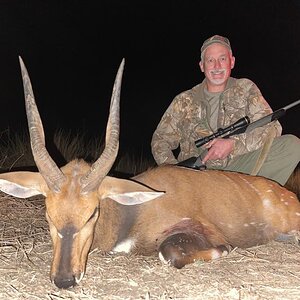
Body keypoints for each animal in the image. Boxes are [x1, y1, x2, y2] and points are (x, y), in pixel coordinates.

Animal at [0, 57, 300, 290]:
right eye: (48, 214)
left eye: (92, 213)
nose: (64, 280)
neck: (133, 212)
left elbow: (170, 252)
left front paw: (224, 250)